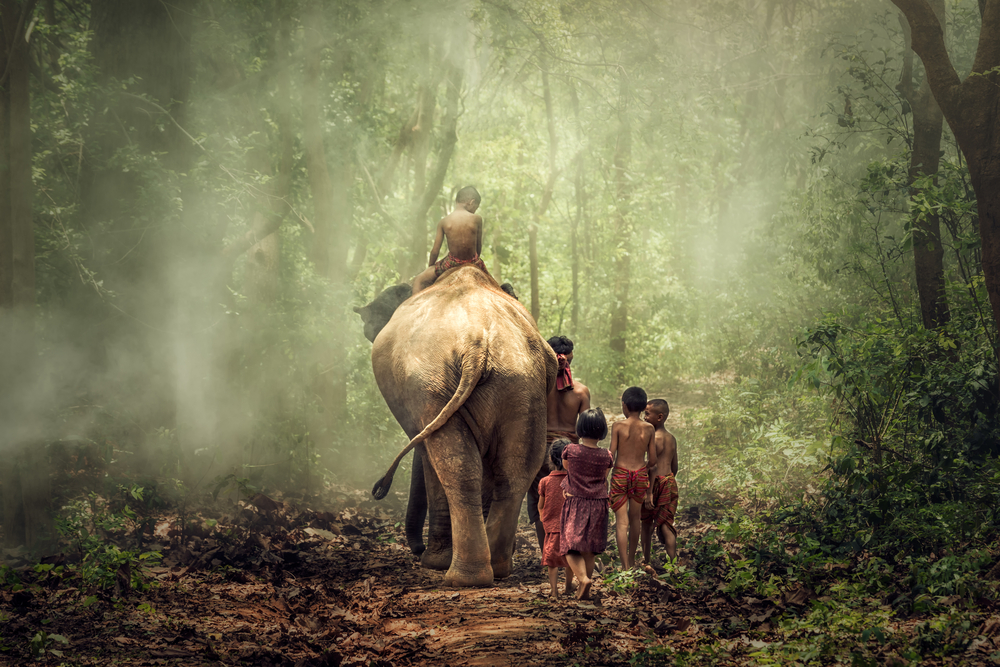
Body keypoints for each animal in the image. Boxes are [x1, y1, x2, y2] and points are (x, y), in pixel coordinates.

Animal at [356, 266, 560, 584]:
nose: (417, 548)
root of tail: (477, 344)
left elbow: (428, 458)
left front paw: (432, 561)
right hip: (521, 384)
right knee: (514, 470)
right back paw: (497, 567)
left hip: (432, 387)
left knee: (455, 465)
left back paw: (459, 575)